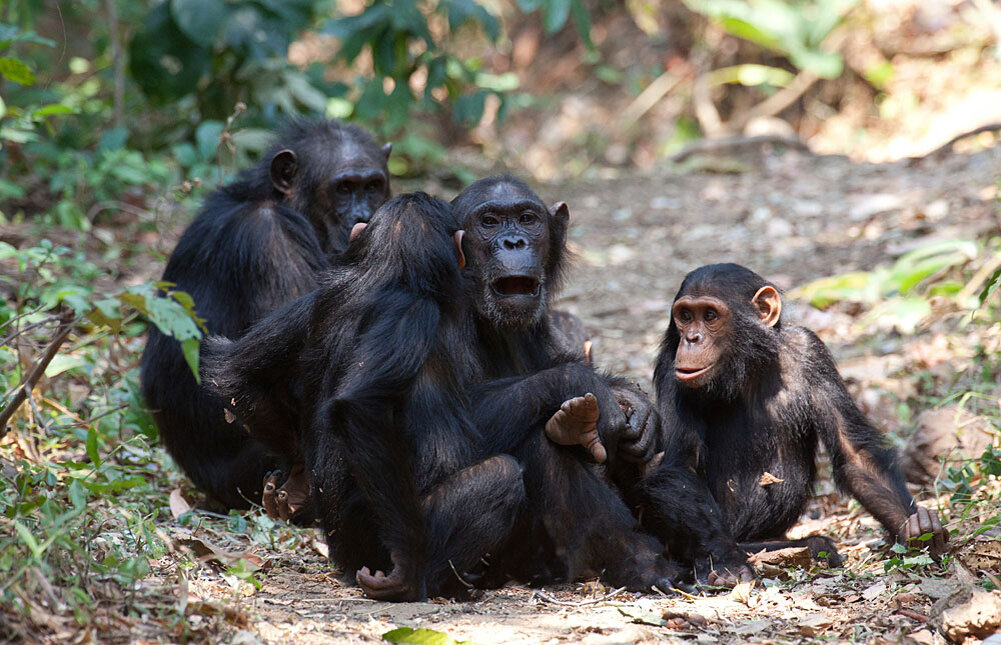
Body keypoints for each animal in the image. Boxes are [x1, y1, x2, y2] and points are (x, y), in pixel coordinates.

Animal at [208, 191, 528, 600]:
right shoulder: (411, 310)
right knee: (500, 477)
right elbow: (360, 407)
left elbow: (237, 373)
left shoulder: (310, 301)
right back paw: (430, 582)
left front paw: (296, 478)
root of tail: (341, 557)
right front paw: (405, 566)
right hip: (375, 544)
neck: (388, 272)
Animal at [640, 262, 944, 572]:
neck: (748, 365)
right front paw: (726, 560)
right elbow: (679, 468)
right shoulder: (671, 368)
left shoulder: (811, 350)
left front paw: (916, 531)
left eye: (709, 316)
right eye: (685, 316)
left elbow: (855, 455)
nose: (691, 338)